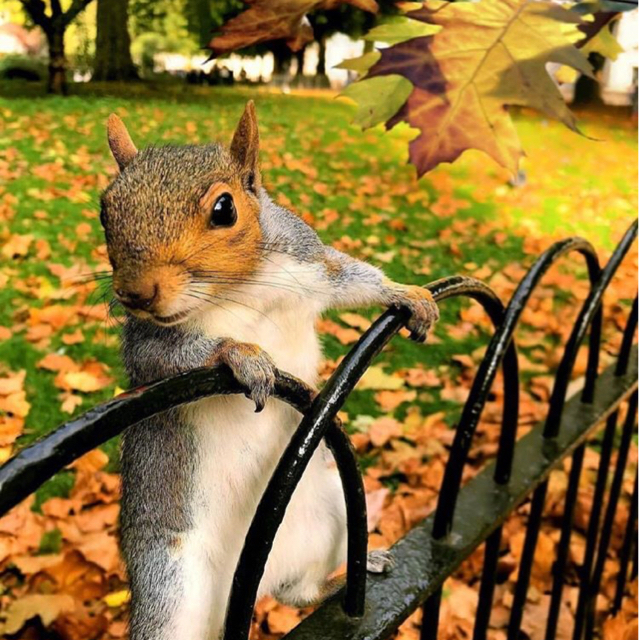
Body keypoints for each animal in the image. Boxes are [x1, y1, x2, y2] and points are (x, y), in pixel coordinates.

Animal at [101, 101, 439, 640]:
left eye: (225, 209)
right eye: (105, 210)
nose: (135, 293)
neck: (239, 287)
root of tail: (248, 590)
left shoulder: (310, 262)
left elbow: (352, 278)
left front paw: (406, 294)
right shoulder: (145, 341)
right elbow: (166, 359)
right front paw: (240, 354)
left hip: (332, 512)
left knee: (299, 593)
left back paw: (356, 569)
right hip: (168, 583)